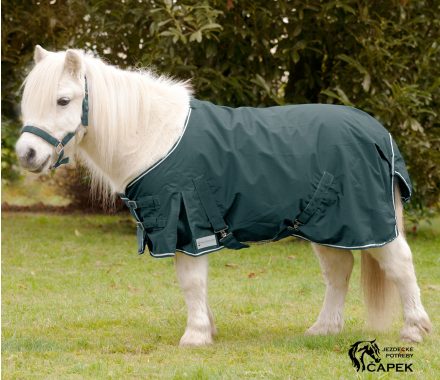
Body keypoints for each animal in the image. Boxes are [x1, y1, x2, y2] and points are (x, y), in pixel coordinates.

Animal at [14, 46, 434, 346]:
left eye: (63, 100)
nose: (26, 154)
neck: (153, 136)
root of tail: (378, 133)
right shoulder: (182, 228)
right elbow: (192, 283)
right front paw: (207, 328)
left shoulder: (187, 223)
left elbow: (191, 281)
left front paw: (196, 335)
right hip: (326, 224)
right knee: (338, 272)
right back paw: (323, 329)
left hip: (369, 221)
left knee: (399, 264)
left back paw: (414, 330)